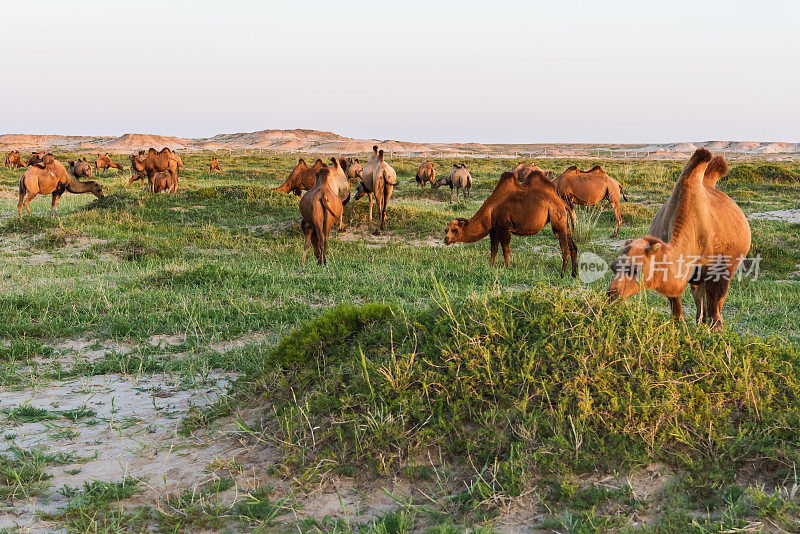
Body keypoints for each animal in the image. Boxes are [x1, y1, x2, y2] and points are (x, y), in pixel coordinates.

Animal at [440, 172, 580, 278]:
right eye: (446, 230)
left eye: (454, 229)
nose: (446, 239)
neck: (490, 210)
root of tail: (563, 203)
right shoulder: (494, 229)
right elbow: (493, 249)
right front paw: (491, 266)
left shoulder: (504, 228)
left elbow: (505, 250)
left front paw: (507, 268)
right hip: (564, 222)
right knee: (573, 246)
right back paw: (573, 273)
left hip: (557, 218)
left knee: (565, 249)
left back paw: (562, 274)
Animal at [608, 150, 752, 330]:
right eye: (613, 267)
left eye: (635, 270)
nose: (612, 294)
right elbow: (677, 307)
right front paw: (683, 328)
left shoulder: (718, 270)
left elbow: (716, 304)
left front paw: (717, 330)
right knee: (699, 294)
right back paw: (700, 321)